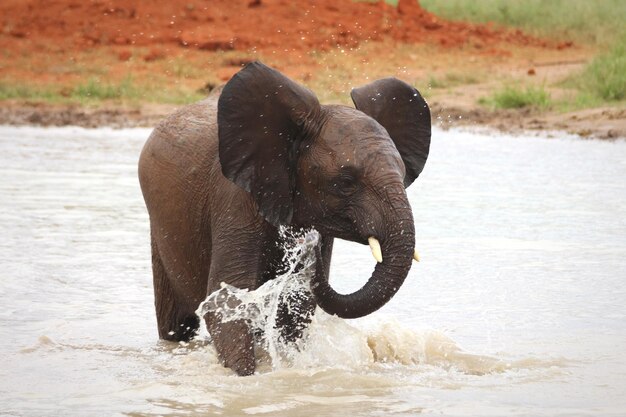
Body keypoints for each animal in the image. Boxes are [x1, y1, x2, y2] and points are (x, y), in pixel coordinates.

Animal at [136, 61, 428, 374]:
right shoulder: (235, 200)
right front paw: (247, 377)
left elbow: (297, 304)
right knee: (177, 324)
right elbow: (226, 300)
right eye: (346, 182)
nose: (309, 245)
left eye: (403, 174)